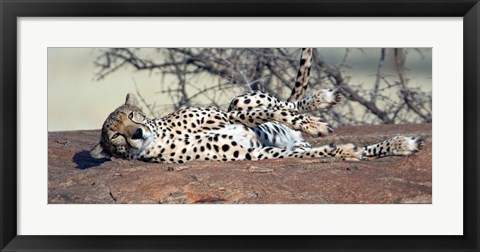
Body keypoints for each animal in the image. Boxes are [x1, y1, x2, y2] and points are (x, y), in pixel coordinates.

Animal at [91, 48, 424, 163]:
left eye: (133, 115)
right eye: (115, 136)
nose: (136, 134)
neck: (161, 134)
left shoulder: (228, 114)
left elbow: (270, 111)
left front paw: (316, 123)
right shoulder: (256, 152)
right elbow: (319, 151)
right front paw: (344, 151)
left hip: (238, 97)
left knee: (285, 102)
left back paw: (322, 100)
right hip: (291, 143)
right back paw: (400, 144)